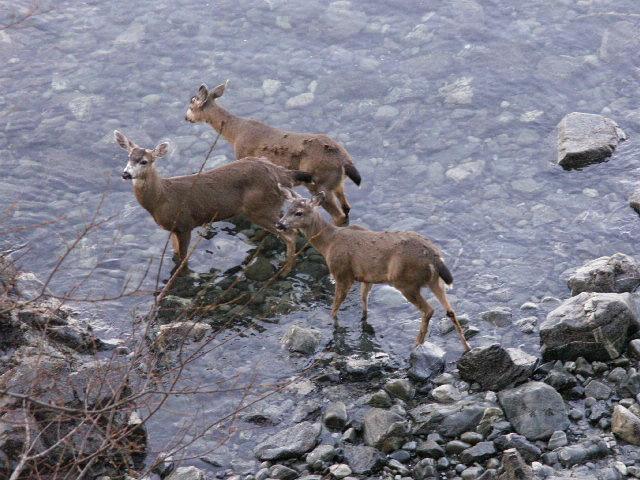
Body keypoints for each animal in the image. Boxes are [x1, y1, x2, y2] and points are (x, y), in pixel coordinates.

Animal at [115, 129, 316, 276]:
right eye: (128, 157)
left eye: (144, 161)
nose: (125, 174)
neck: (162, 199)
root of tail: (282, 174)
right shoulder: (173, 228)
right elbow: (176, 254)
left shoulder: (185, 223)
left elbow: (183, 259)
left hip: (260, 207)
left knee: (290, 235)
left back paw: (285, 271)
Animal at [185, 81, 362, 227]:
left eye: (191, 104)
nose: (186, 118)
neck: (235, 133)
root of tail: (343, 160)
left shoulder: (243, 156)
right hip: (337, 182)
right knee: (346, 207)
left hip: (319, 182)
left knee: (338, 215)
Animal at [276, 188, 470, 352]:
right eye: (285, 209)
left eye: (299, 212)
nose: (279, 224)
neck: (329, 242)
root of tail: (434, 256)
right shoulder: (366, 277)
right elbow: (364, 302)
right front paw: (363, 322)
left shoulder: (342, 273)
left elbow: (335, 308)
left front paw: (334, 325)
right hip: (435, 281)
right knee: (450, 311)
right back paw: (466, 347)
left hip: (405, 281)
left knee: (429, 310)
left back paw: (417, 344)